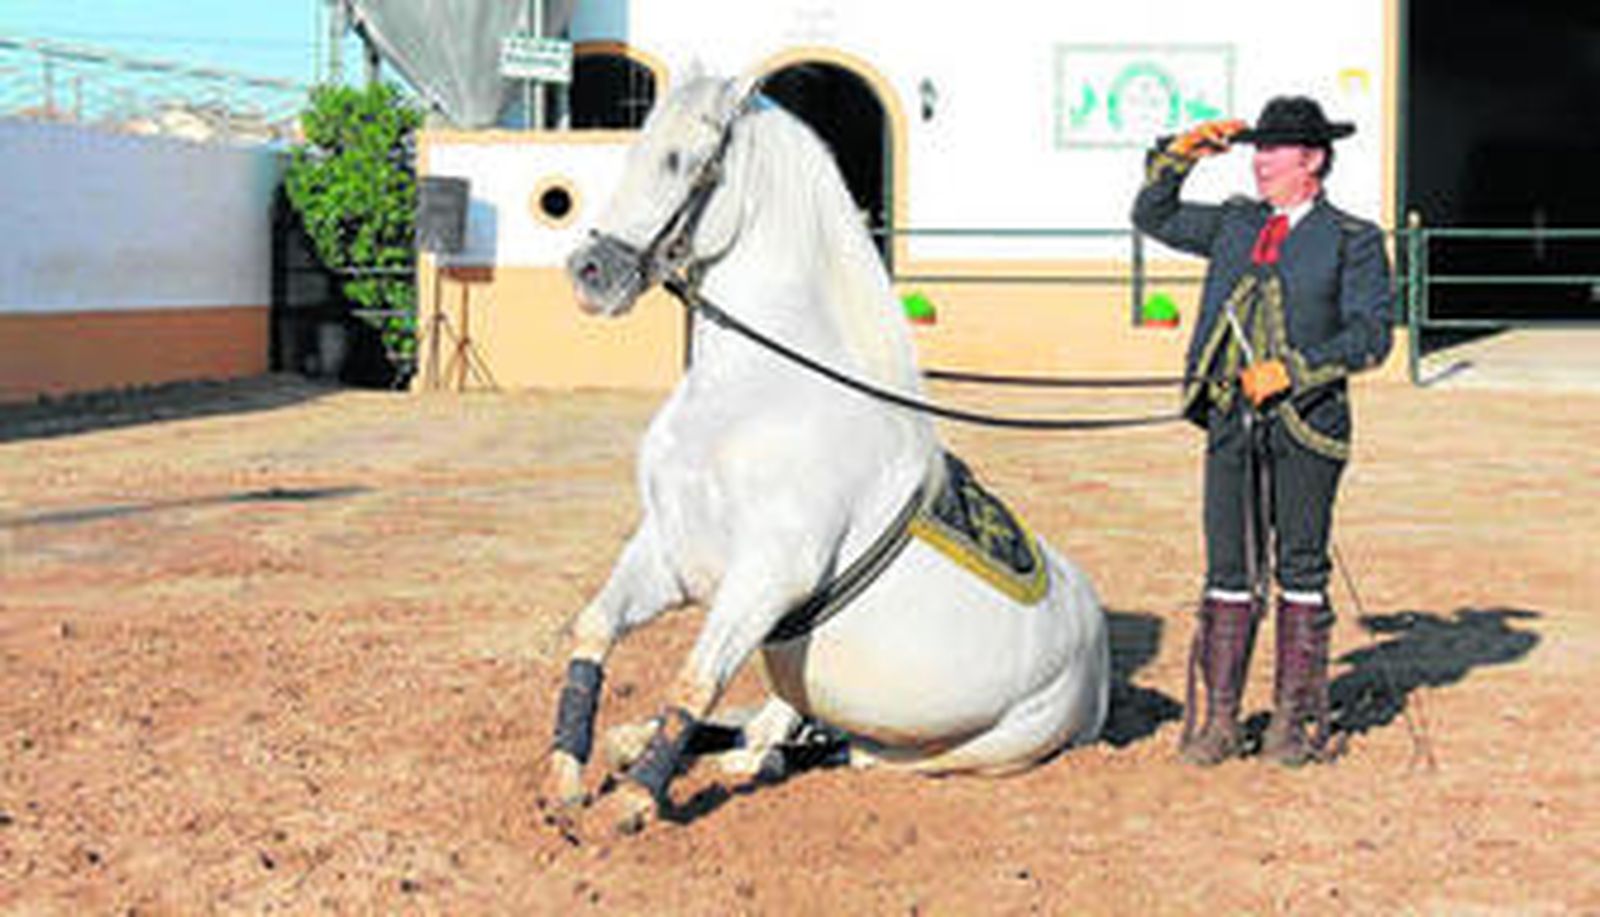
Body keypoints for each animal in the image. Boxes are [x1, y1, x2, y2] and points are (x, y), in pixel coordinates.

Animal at [548, 73, 1110, 834]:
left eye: (679, 159)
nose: (590, 271)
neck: (754, 394)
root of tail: (1099, 666)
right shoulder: (668, 549)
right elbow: (596, 627)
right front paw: (565, 778)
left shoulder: (767, 575)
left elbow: (695, 678)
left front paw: (632, 803)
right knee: (775, 720)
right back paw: (645, 740)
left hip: (977, 746)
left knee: (842, 749)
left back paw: (742, 762)